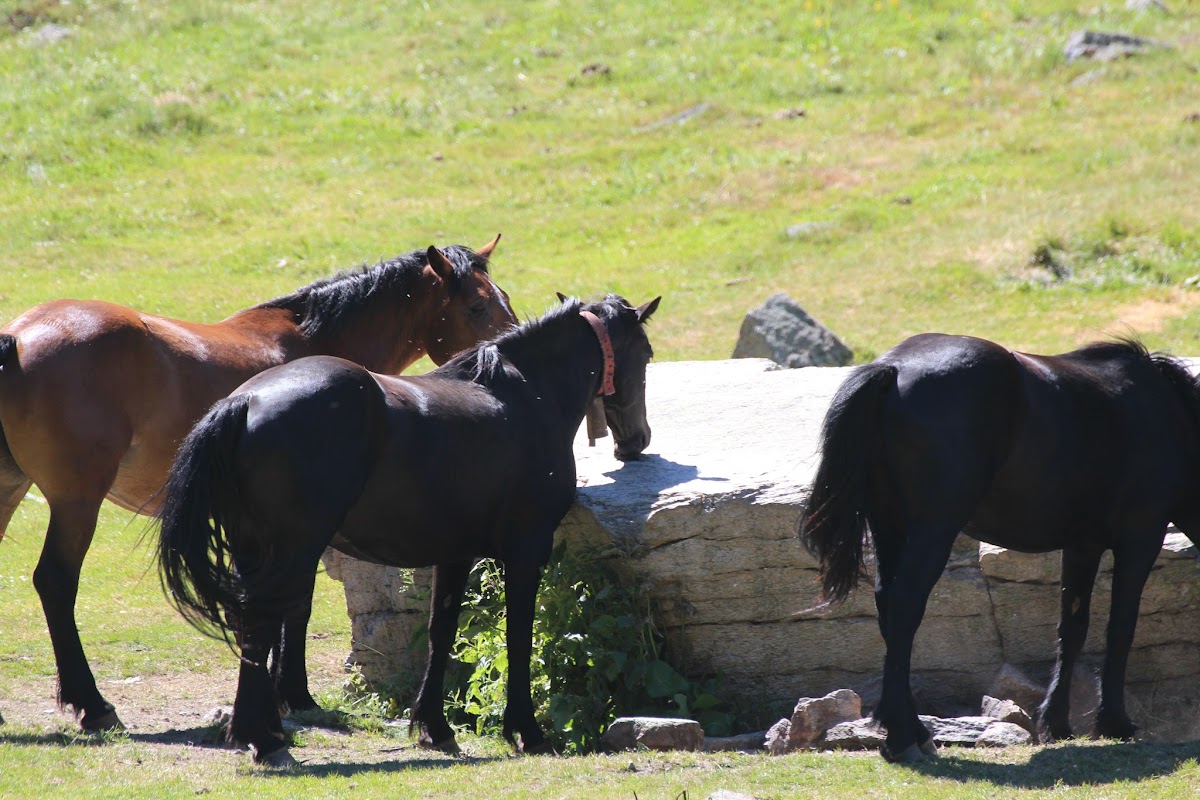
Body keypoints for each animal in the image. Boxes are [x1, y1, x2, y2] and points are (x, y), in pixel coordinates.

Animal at [0, 236, 511, 734]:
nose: (504, 356)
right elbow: (295, 603)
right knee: (56, 582)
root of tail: (20, 337)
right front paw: (293, 694)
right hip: (77, 503)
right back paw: (94, 706)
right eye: (477, 307)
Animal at [156, 292, 662, 762]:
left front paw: (434, 726)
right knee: (261, 621)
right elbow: (519, 636)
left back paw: (265, 731)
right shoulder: (526, 550)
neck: (524, 395)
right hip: (291, 551)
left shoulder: (455, 554)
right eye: (647, 353)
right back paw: (258, 736)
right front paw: (526, 731)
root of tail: (246, 400)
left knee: (251, 626)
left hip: (255, 551)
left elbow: (441, 632)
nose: (637, 440)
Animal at [796, 331, 1200, 762]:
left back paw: (909, 729)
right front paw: (1114, 723)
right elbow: (1120, 627)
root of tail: (894, 368)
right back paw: (903, 736)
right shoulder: (1142, 536)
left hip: (889, 525)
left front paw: (1056, 723)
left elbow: (1072, 627)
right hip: (933, 528)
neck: (1171, 416)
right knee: (905, 607)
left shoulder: (1082, 545)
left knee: (888, 607)